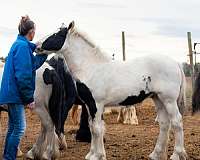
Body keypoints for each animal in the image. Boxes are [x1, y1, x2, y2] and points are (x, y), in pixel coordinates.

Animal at [35, 21, 187, 160]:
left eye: (57, 34)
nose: (36, 46)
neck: (92, 67)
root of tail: (175, 63)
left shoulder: (96, 104)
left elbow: (97, 129)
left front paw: (97, 155)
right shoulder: (89, 105)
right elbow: (92, 127)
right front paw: (92, 154)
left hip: (169, 100)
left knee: (177, 122)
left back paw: (177, 154)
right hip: (158, 99)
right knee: (164, 124)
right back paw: (155, 154)